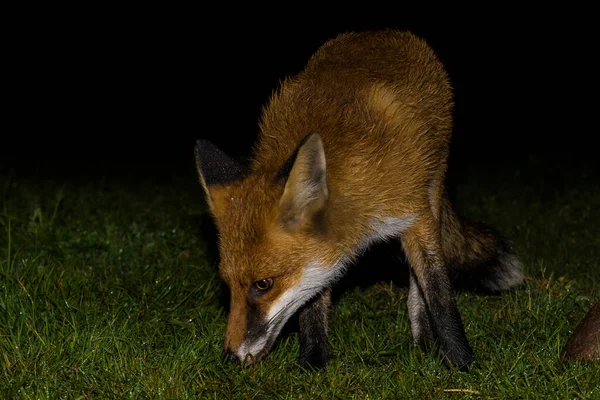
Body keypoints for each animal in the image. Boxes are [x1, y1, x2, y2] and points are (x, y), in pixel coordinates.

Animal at [195, 29, 524, 370]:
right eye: (227, 284)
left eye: (263, 284)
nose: (230, 357)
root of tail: (379, 31)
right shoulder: (321, 258)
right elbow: (313, 302)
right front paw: (312, 362)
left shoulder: (414, 214)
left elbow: (438, 293)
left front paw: (461, 361)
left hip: (433, 188)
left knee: (418, 286)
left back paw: (423, 340)